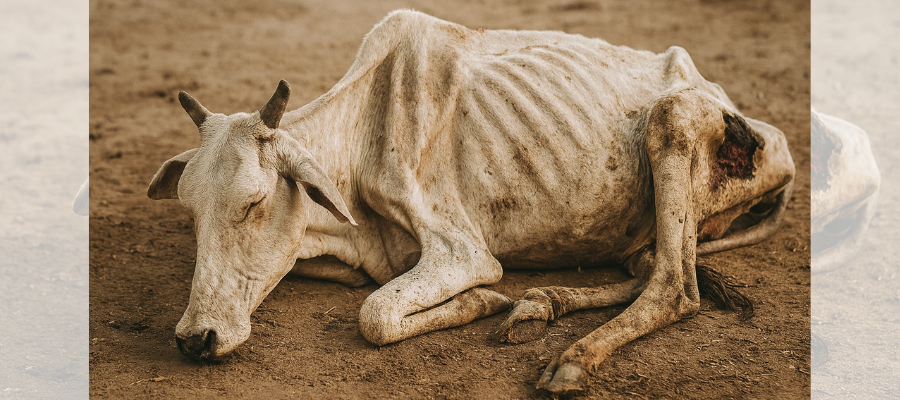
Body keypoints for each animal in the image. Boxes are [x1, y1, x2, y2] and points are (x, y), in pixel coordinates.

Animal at [148, 10, 795, 394]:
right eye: (190, 211)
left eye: (254, 204)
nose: (196, 339)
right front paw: (507, 304)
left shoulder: (461, 251)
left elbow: (376, 316)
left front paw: (484, 301)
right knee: (649, 266)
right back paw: (540, 305)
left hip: (675, 118)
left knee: (676, 287)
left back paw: (569, 359)